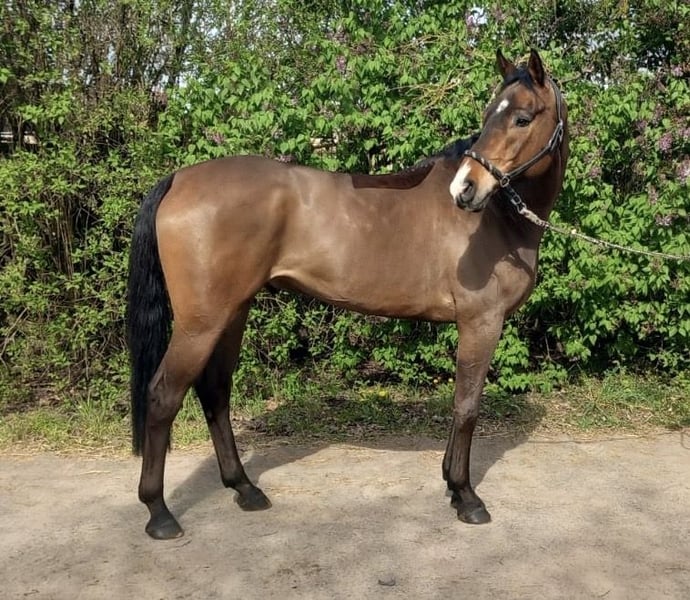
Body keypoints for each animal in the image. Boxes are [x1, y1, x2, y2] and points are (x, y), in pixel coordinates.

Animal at [127, 49, 569, 539]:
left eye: (522, 118)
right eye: (490, 115)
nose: (465, 189)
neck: (498, 220)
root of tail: (179, 179)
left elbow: (461, 407)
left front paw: (452, 486)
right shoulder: (481, 321)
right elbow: (467, 407)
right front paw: (466, 496)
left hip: (231, 313)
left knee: (215, 393)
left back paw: (245, 489)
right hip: (200, 323)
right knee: (163, 396)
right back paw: (159, 513)